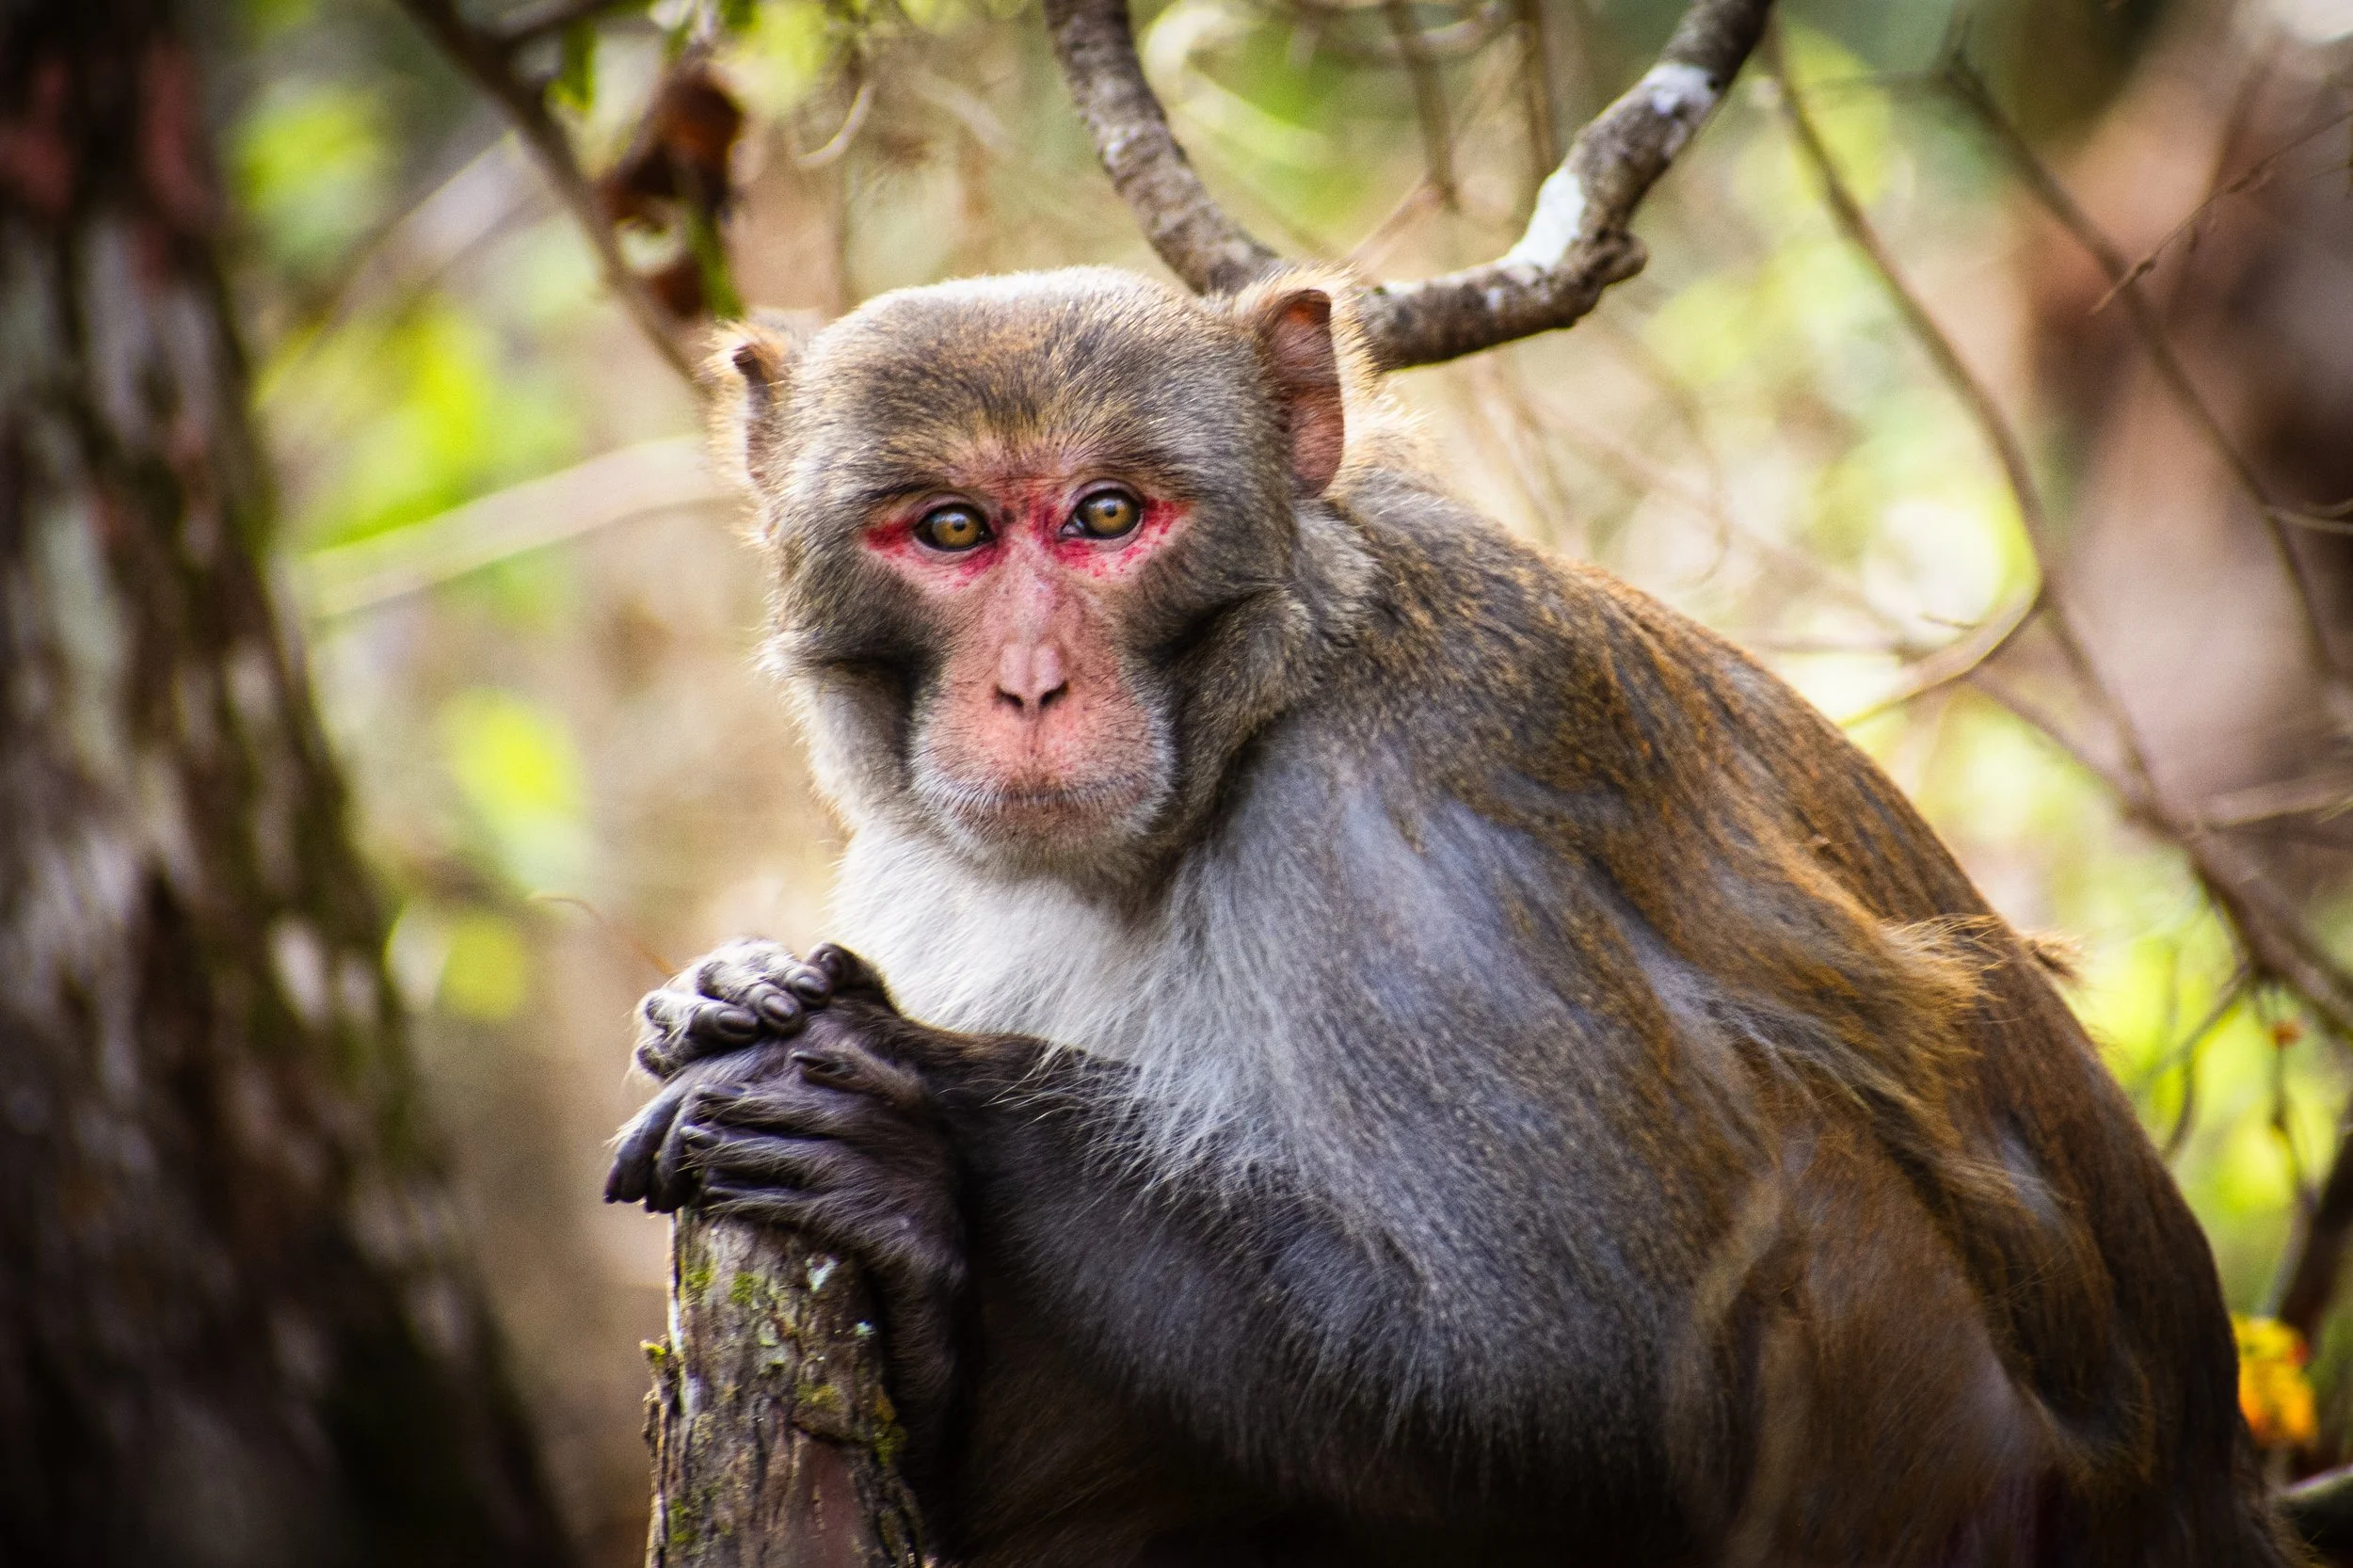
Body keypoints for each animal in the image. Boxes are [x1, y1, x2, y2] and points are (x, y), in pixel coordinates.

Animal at [605, 265, 2299, 1568]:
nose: (1031, 686)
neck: (1248, 712)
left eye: (1107, 514)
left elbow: (1567, 1383)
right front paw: (743, 1022)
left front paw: (913, 1103)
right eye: (950, 531)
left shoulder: (1391, 831)